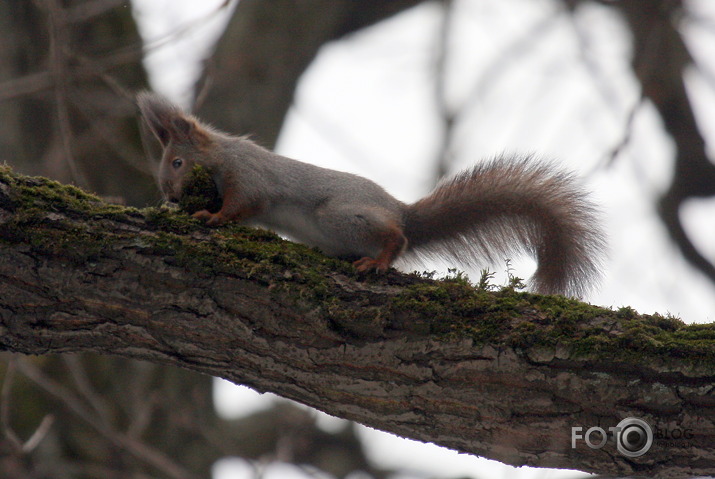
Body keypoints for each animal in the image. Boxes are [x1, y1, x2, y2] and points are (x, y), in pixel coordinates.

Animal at [136, 92, 604, 298]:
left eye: (177, 162)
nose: (170, 196)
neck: (222, 153)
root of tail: (400, 211)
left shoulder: (248, 177)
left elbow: (241, 205)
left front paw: (211, 218)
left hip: (339, 215)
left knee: (398, 239)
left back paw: (378, 261)